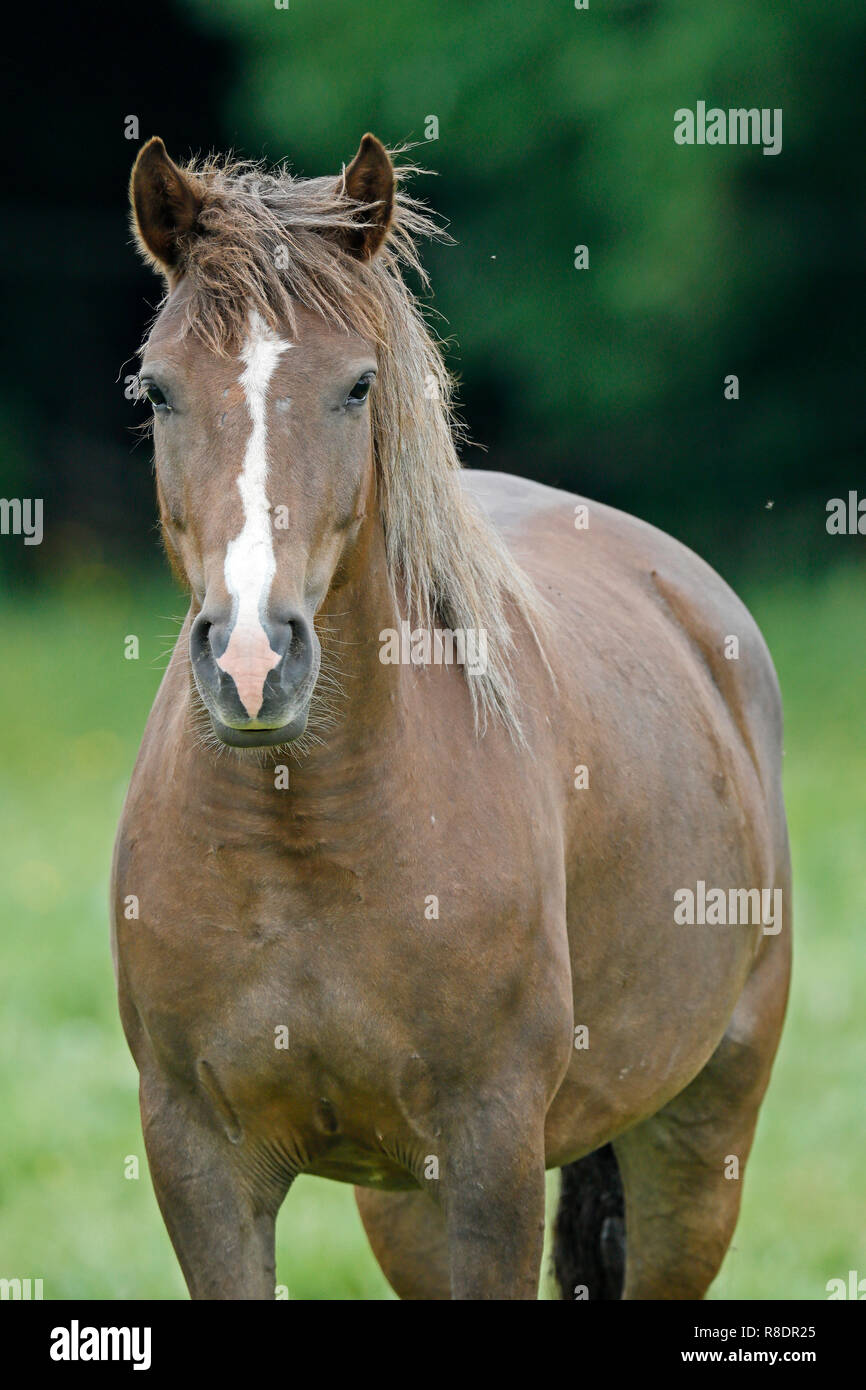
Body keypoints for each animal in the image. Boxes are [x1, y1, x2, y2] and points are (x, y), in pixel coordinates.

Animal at [113, 135, 795, 1295]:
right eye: (158, 390)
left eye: (356, 385)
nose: (251, 662)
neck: (300, 842)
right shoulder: (200, 1162)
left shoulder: (487, 1155)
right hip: (407, 1210)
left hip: (700, 1145)